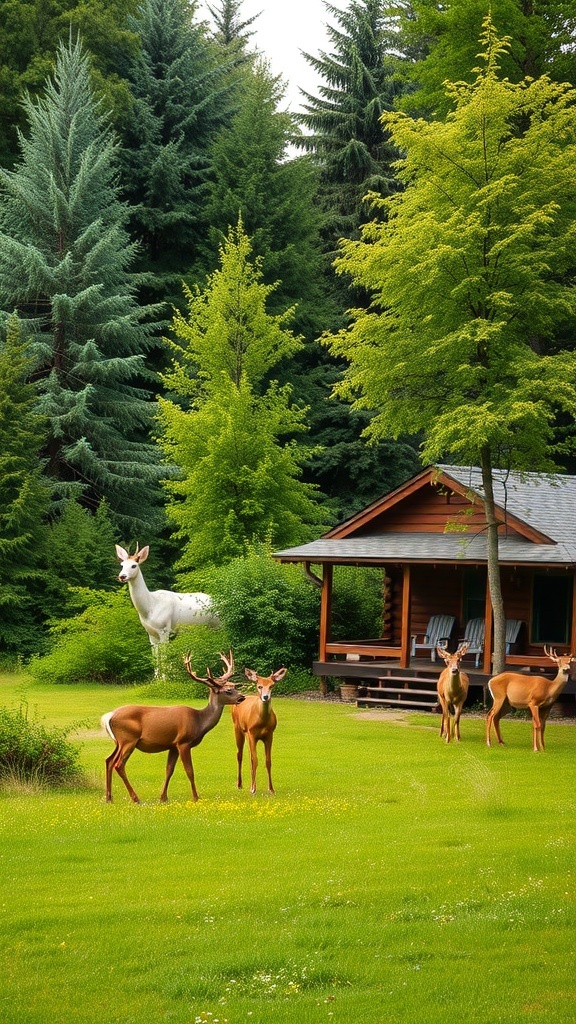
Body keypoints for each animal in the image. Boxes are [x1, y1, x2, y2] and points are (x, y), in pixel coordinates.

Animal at [101, 651, 245, 803]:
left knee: (108, 760)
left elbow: (169, 770)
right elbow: (190, 771)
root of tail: (109, 716)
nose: (242, 697)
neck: (199, 721)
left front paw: (163, 797)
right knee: (118, 764)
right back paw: (135, 798)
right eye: (228, 690)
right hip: (129, 739)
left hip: (119, 742)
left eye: (234, 686)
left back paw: (109, 798)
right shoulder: (183, 742)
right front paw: (196, 797)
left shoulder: (172, 745)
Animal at [115, 544, 219, 675]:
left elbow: (164, 658)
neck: (149, 608)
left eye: (134, 565)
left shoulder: (165, 629)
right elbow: (155, 659)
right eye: (122, 565)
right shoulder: (151, 634)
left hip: (219, 624)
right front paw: (156, 678)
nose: (122, 576)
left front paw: (165, 678)